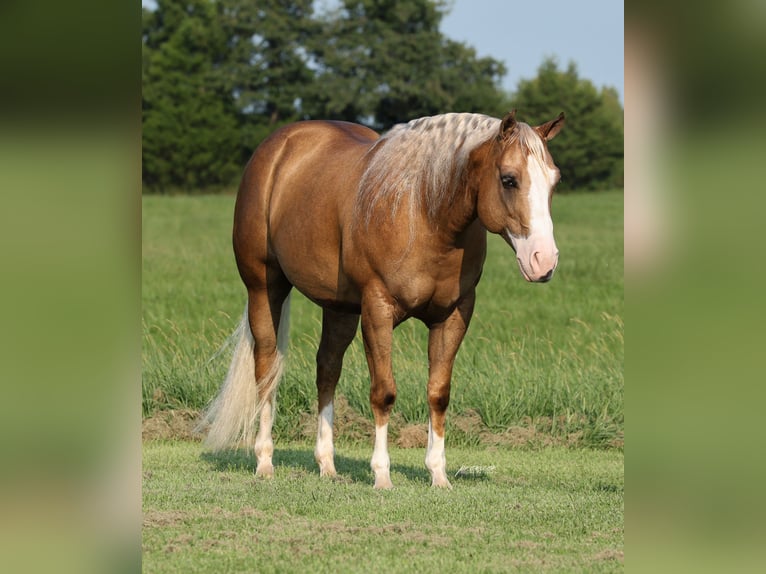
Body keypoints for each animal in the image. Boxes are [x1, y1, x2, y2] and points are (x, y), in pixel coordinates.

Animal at [202, 110, 565, 489]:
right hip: (264, 287)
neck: (423, 211)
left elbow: (439, 393)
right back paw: (264, 461)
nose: (544, 261)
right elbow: (384, 392)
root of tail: (277, 147)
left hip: (340, 309)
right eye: (509, 180)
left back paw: (327, 464)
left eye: (554, 180)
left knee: (327, 370)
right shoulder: (377, 310)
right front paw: (382, 475)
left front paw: (438, 475)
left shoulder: (453, 314)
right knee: (267, 367)